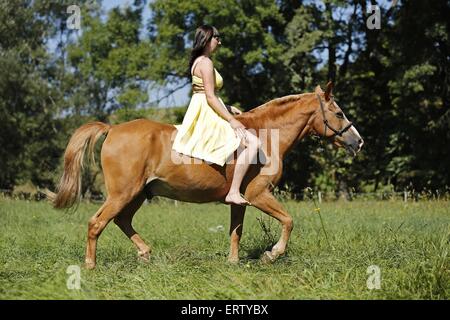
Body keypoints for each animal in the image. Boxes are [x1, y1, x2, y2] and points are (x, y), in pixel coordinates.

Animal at [48, 82, 362, 268]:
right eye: (339, 113)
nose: (358, 142)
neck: (266, 135)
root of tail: (112, 129)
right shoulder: (258, 194)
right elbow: (288, 221)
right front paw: (272, 254)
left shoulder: (239, 201)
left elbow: (236, 231)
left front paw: (233, 263)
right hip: (123, 193)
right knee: (96, 223)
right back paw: (91, 266)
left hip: (138, 194)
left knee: (122, 221)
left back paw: (145, 253)